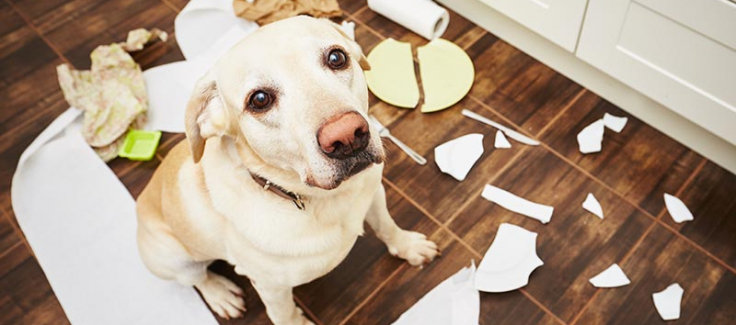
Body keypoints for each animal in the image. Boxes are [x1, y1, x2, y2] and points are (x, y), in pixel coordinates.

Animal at [136, 15, 440, 324]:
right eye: (259, 100)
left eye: (337, 57)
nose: (347, 136)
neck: (322, 199)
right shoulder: (271, 287)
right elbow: (284, 313)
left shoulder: (374, 196)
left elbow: (387, 226)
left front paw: (408, 246)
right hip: (175, 258)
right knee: (197, 279)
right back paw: (221, 294)